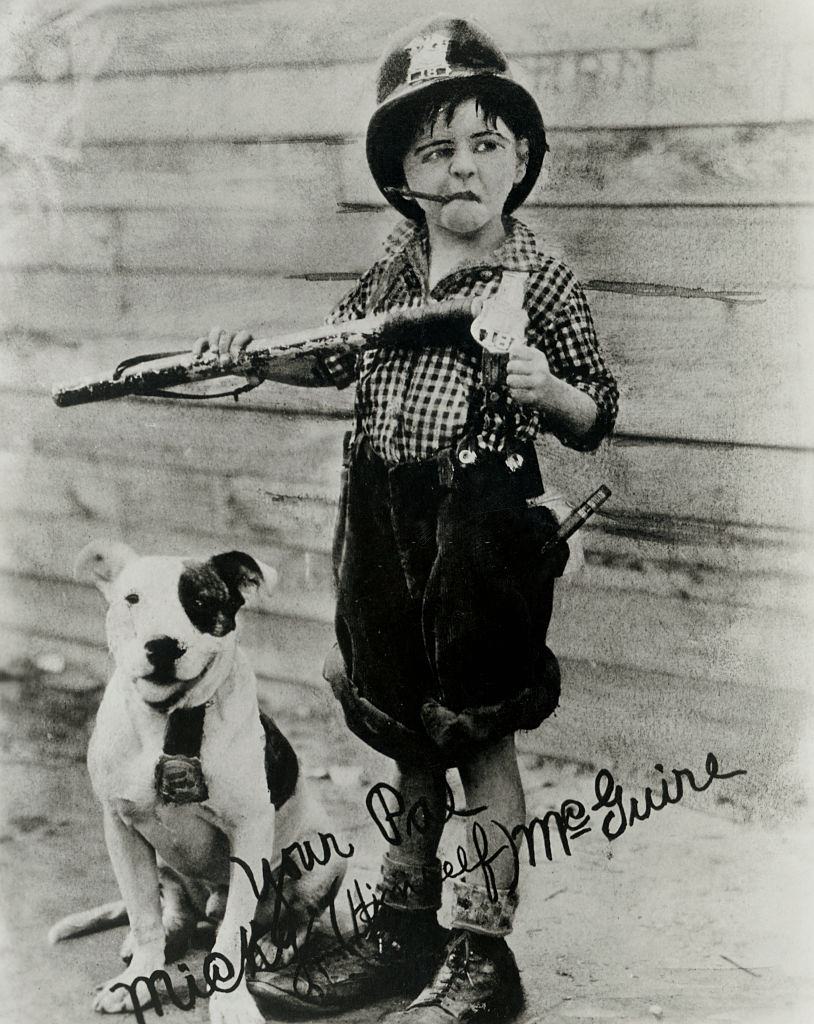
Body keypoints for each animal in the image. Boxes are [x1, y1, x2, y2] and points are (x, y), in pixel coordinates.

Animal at [63, 548, 344, 1024]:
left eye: (199, 601)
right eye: (132, 598)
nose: (162, 645)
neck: (172, 724)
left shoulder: (249, 832)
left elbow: (233, 932)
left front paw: (231, 1003)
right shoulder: (120, 828)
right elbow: (143, 916)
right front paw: (138, 979)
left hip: (321, 857)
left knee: (292, 917)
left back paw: (275, 944)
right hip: (162, 863)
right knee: (172, 910)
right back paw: (162, 937)